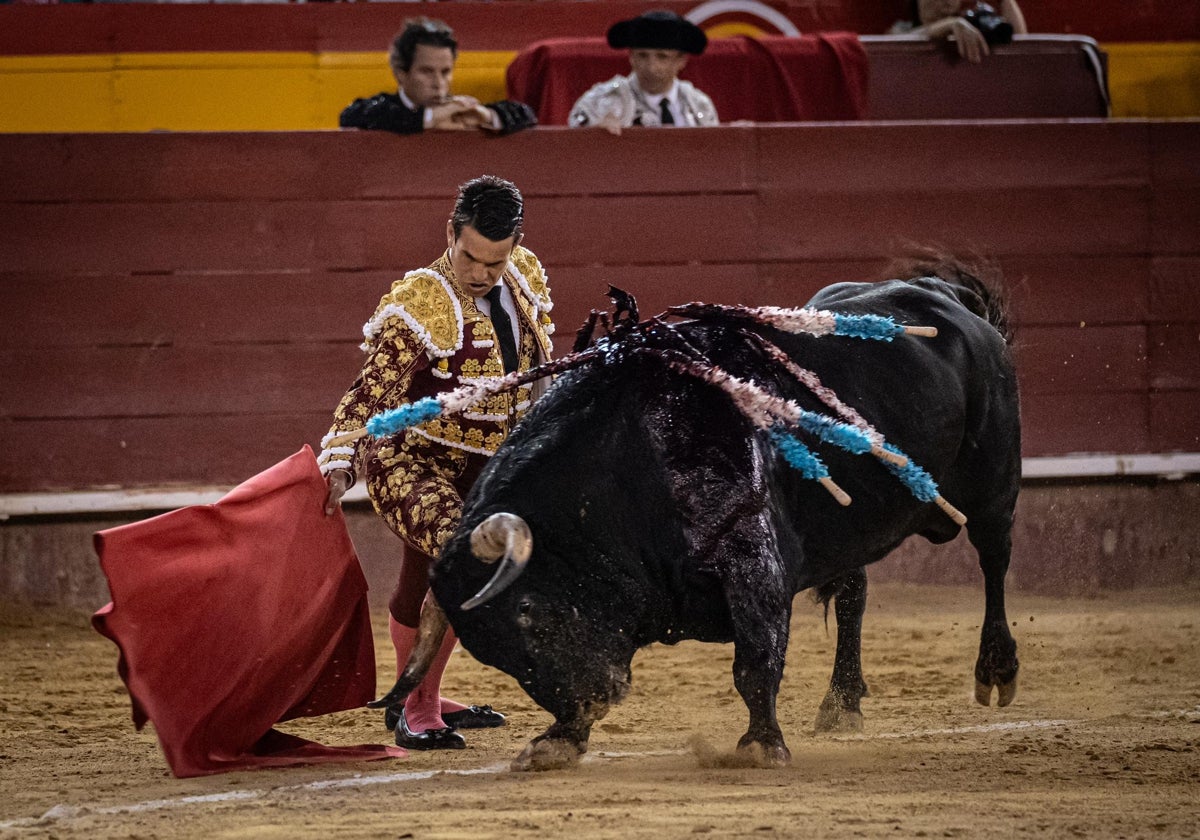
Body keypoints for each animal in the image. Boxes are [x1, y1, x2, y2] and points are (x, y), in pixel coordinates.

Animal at [367, 262, 1022, 768]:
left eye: (526, 608)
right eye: (490, 650)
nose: (597, 695)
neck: (626, 459)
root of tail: (943, 295)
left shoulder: (753, 562)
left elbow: (755, 660)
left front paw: (761, 746)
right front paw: (558, 740)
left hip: (995, 485)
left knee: (994, 561)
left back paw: (997, 670)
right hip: (849, 527)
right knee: (854, 592)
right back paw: (842, 704)